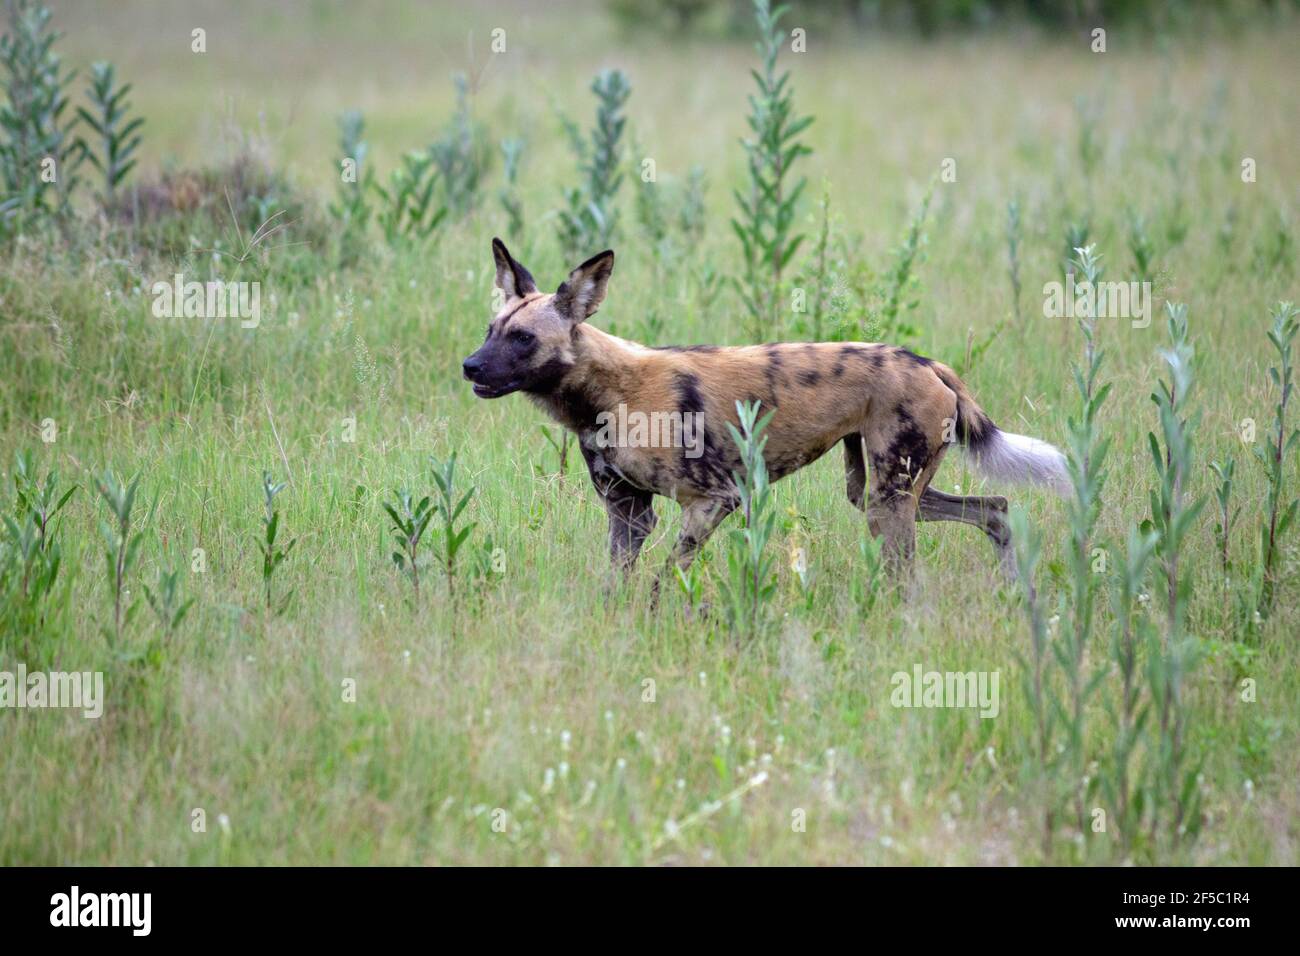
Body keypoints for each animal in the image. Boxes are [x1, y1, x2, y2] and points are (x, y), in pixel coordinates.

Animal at [465, 239, 1066, 582]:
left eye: (522, 339)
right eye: (491, 330)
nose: (470, 367)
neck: (608, 393)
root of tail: (927, 361)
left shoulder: (713, 501)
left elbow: (663, 580)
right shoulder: (628, 515)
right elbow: (619, 587)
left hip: (889, 504)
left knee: (910, 582)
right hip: (882, 492)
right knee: (996, 510)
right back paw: (1018, 594)